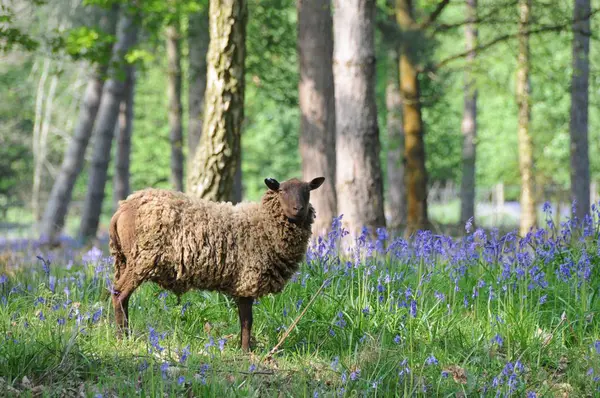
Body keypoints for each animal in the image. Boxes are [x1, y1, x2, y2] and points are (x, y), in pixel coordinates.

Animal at [107, 177, 324, 352]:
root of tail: (122, 208)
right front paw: (246, 352)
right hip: (141, 259)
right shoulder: (247, 279)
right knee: (119, 294)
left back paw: (124, 334)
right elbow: (247, 321)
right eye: (282, 191)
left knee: (122, 295)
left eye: (307, 191)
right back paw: (122, 338)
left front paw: (244, 349)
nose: (298, 209)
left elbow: (245, 320)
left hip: (125, 260)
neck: (263, 224)